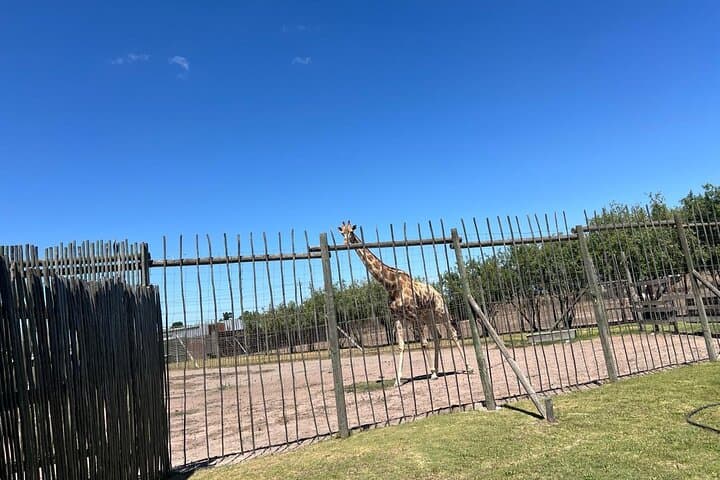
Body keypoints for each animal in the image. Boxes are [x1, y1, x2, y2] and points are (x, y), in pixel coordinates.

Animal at [338, 221, 472, 387]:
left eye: (351, 231)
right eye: (341, 232)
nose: (345, 243)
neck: (391, 285)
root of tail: (438, 293)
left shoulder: (413, 315)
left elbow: (423, 343)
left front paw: (432, 374)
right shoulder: (397, 317)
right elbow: (401, 346)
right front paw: (397, 380)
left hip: (441, 311)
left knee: (452, 333)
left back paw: (467, 367)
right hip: (428, 316)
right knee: (438, 336)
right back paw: (437, 369)